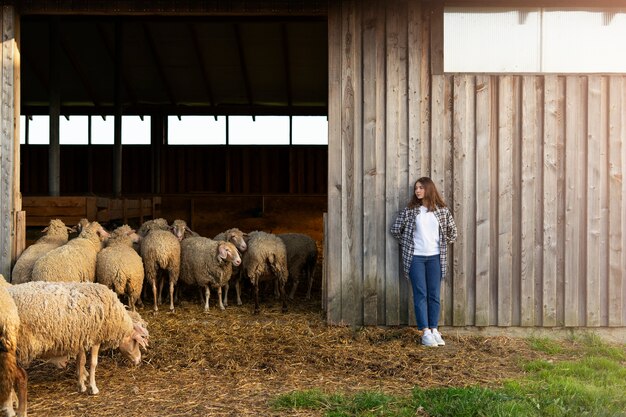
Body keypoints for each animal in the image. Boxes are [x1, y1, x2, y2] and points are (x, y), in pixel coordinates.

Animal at [7, 282, 149, 394]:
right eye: (136, 341)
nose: (139, 360)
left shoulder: (81, 337)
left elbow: (81, 361)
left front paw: (81, 384)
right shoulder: (95, 338)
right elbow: (92, 363)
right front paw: (93, 387)